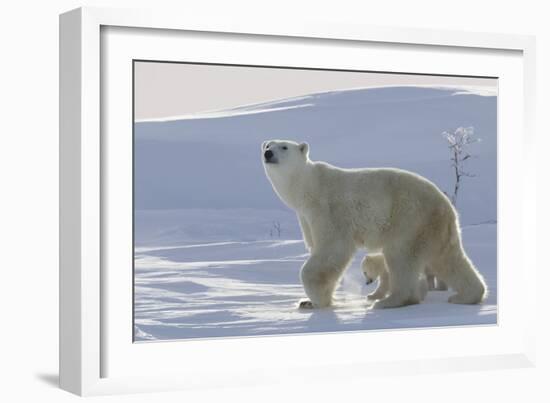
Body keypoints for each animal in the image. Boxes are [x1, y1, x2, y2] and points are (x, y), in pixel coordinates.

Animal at [266, 139, 490, 310]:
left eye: (284, 146)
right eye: (268, 144)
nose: (268, 153)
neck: (308, 187)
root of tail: (446, 206)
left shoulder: (328, 210)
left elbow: (332, 249)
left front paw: (318, 299)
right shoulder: (305, 217)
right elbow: (317, 247)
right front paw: (307, 302)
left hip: (409, 219)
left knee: (401, 257)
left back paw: (390, 301)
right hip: (433, 229)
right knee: (448, 259)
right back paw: (466, 295)